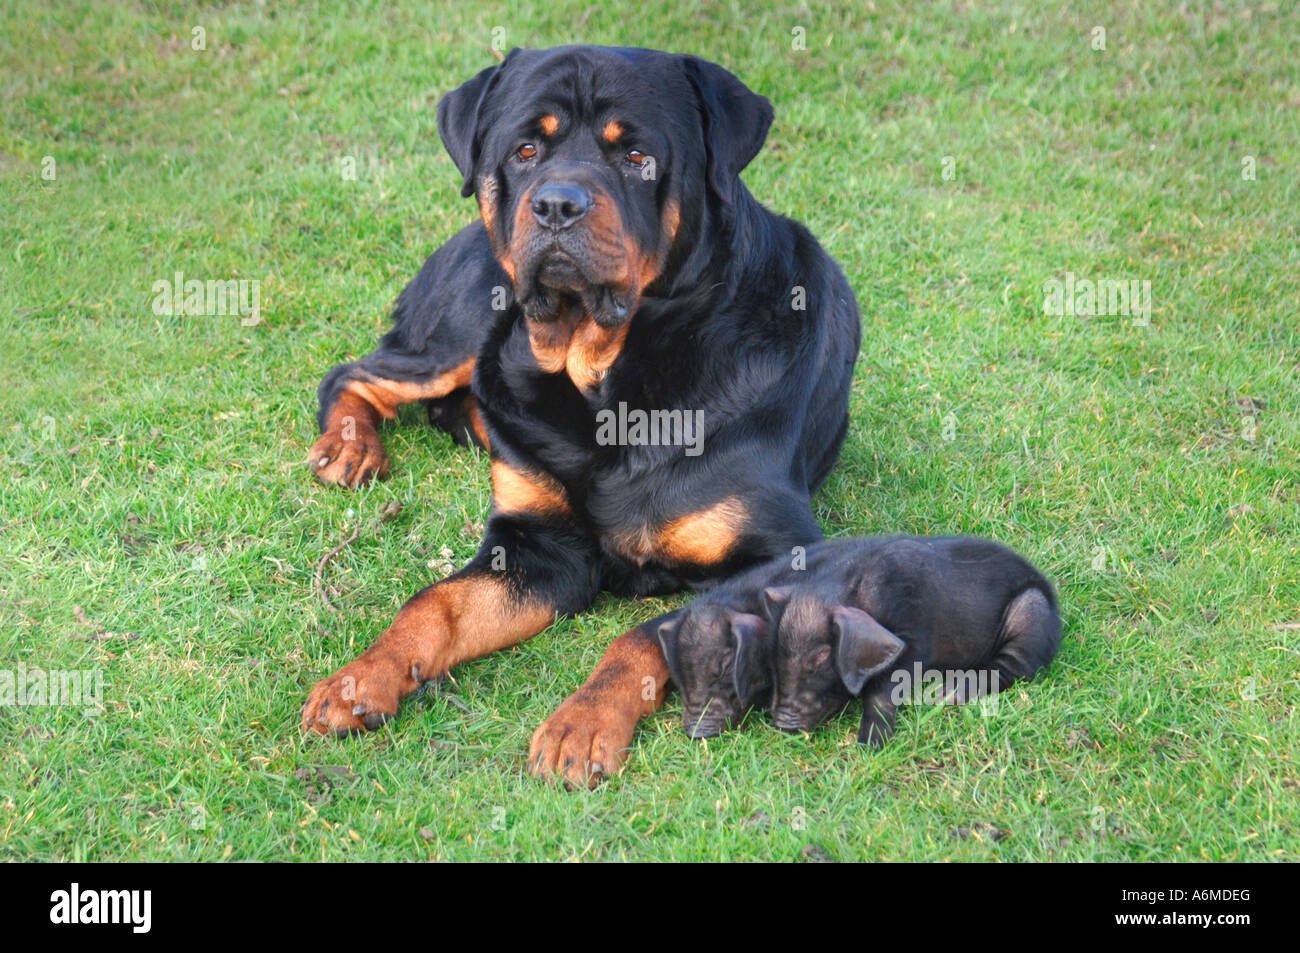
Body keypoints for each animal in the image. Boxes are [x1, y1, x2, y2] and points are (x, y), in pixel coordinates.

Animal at [302, 46, 863, 790]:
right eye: (525, 149)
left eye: (637, 156)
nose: (557, 203)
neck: (608, 383)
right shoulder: (536, 545)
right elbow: (435, 602)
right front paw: (360, 678)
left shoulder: (779, 556)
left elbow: (650, 630)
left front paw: (583, 722)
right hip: (466, 324)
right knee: (357, 372)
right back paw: (351, 446)